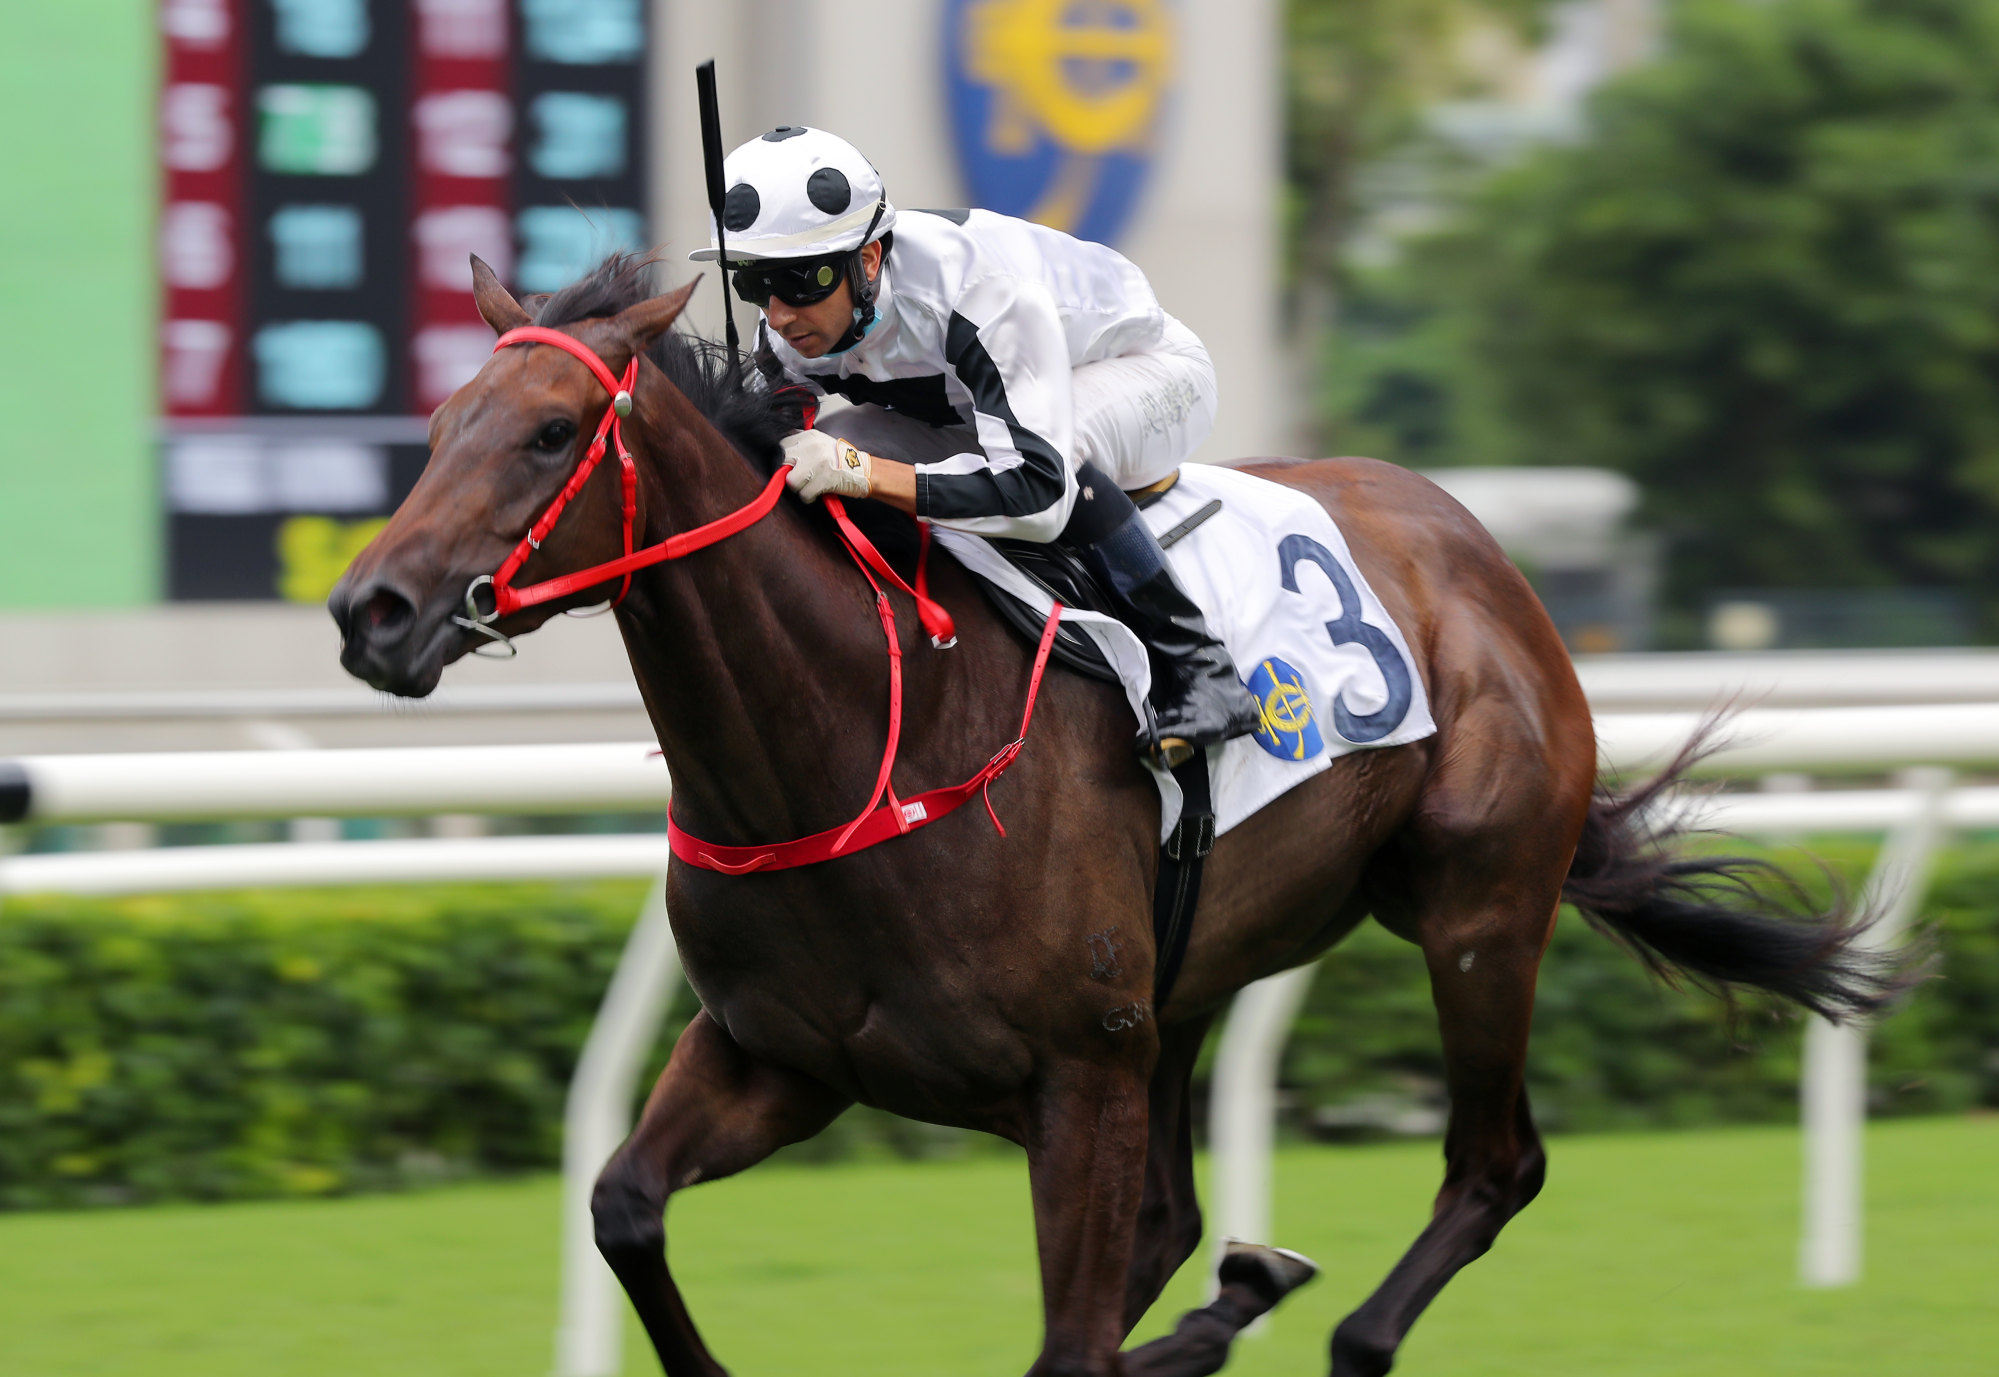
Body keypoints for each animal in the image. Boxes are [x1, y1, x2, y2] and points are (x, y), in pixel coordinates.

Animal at [327, 252, 1887, 1367]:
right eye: (440, 425)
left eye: (548, 433)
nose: (370, 612)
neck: (862, 740)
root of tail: (1469, 544)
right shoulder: (779, 1055)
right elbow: (624, 1211)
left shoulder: (1073, 1076)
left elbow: (1069, 1350)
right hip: (1183, 985)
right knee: (1184, 1221)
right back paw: (1233, 1294)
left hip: (1475, 910)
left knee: (1492, 1167)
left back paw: (1318, 1321)